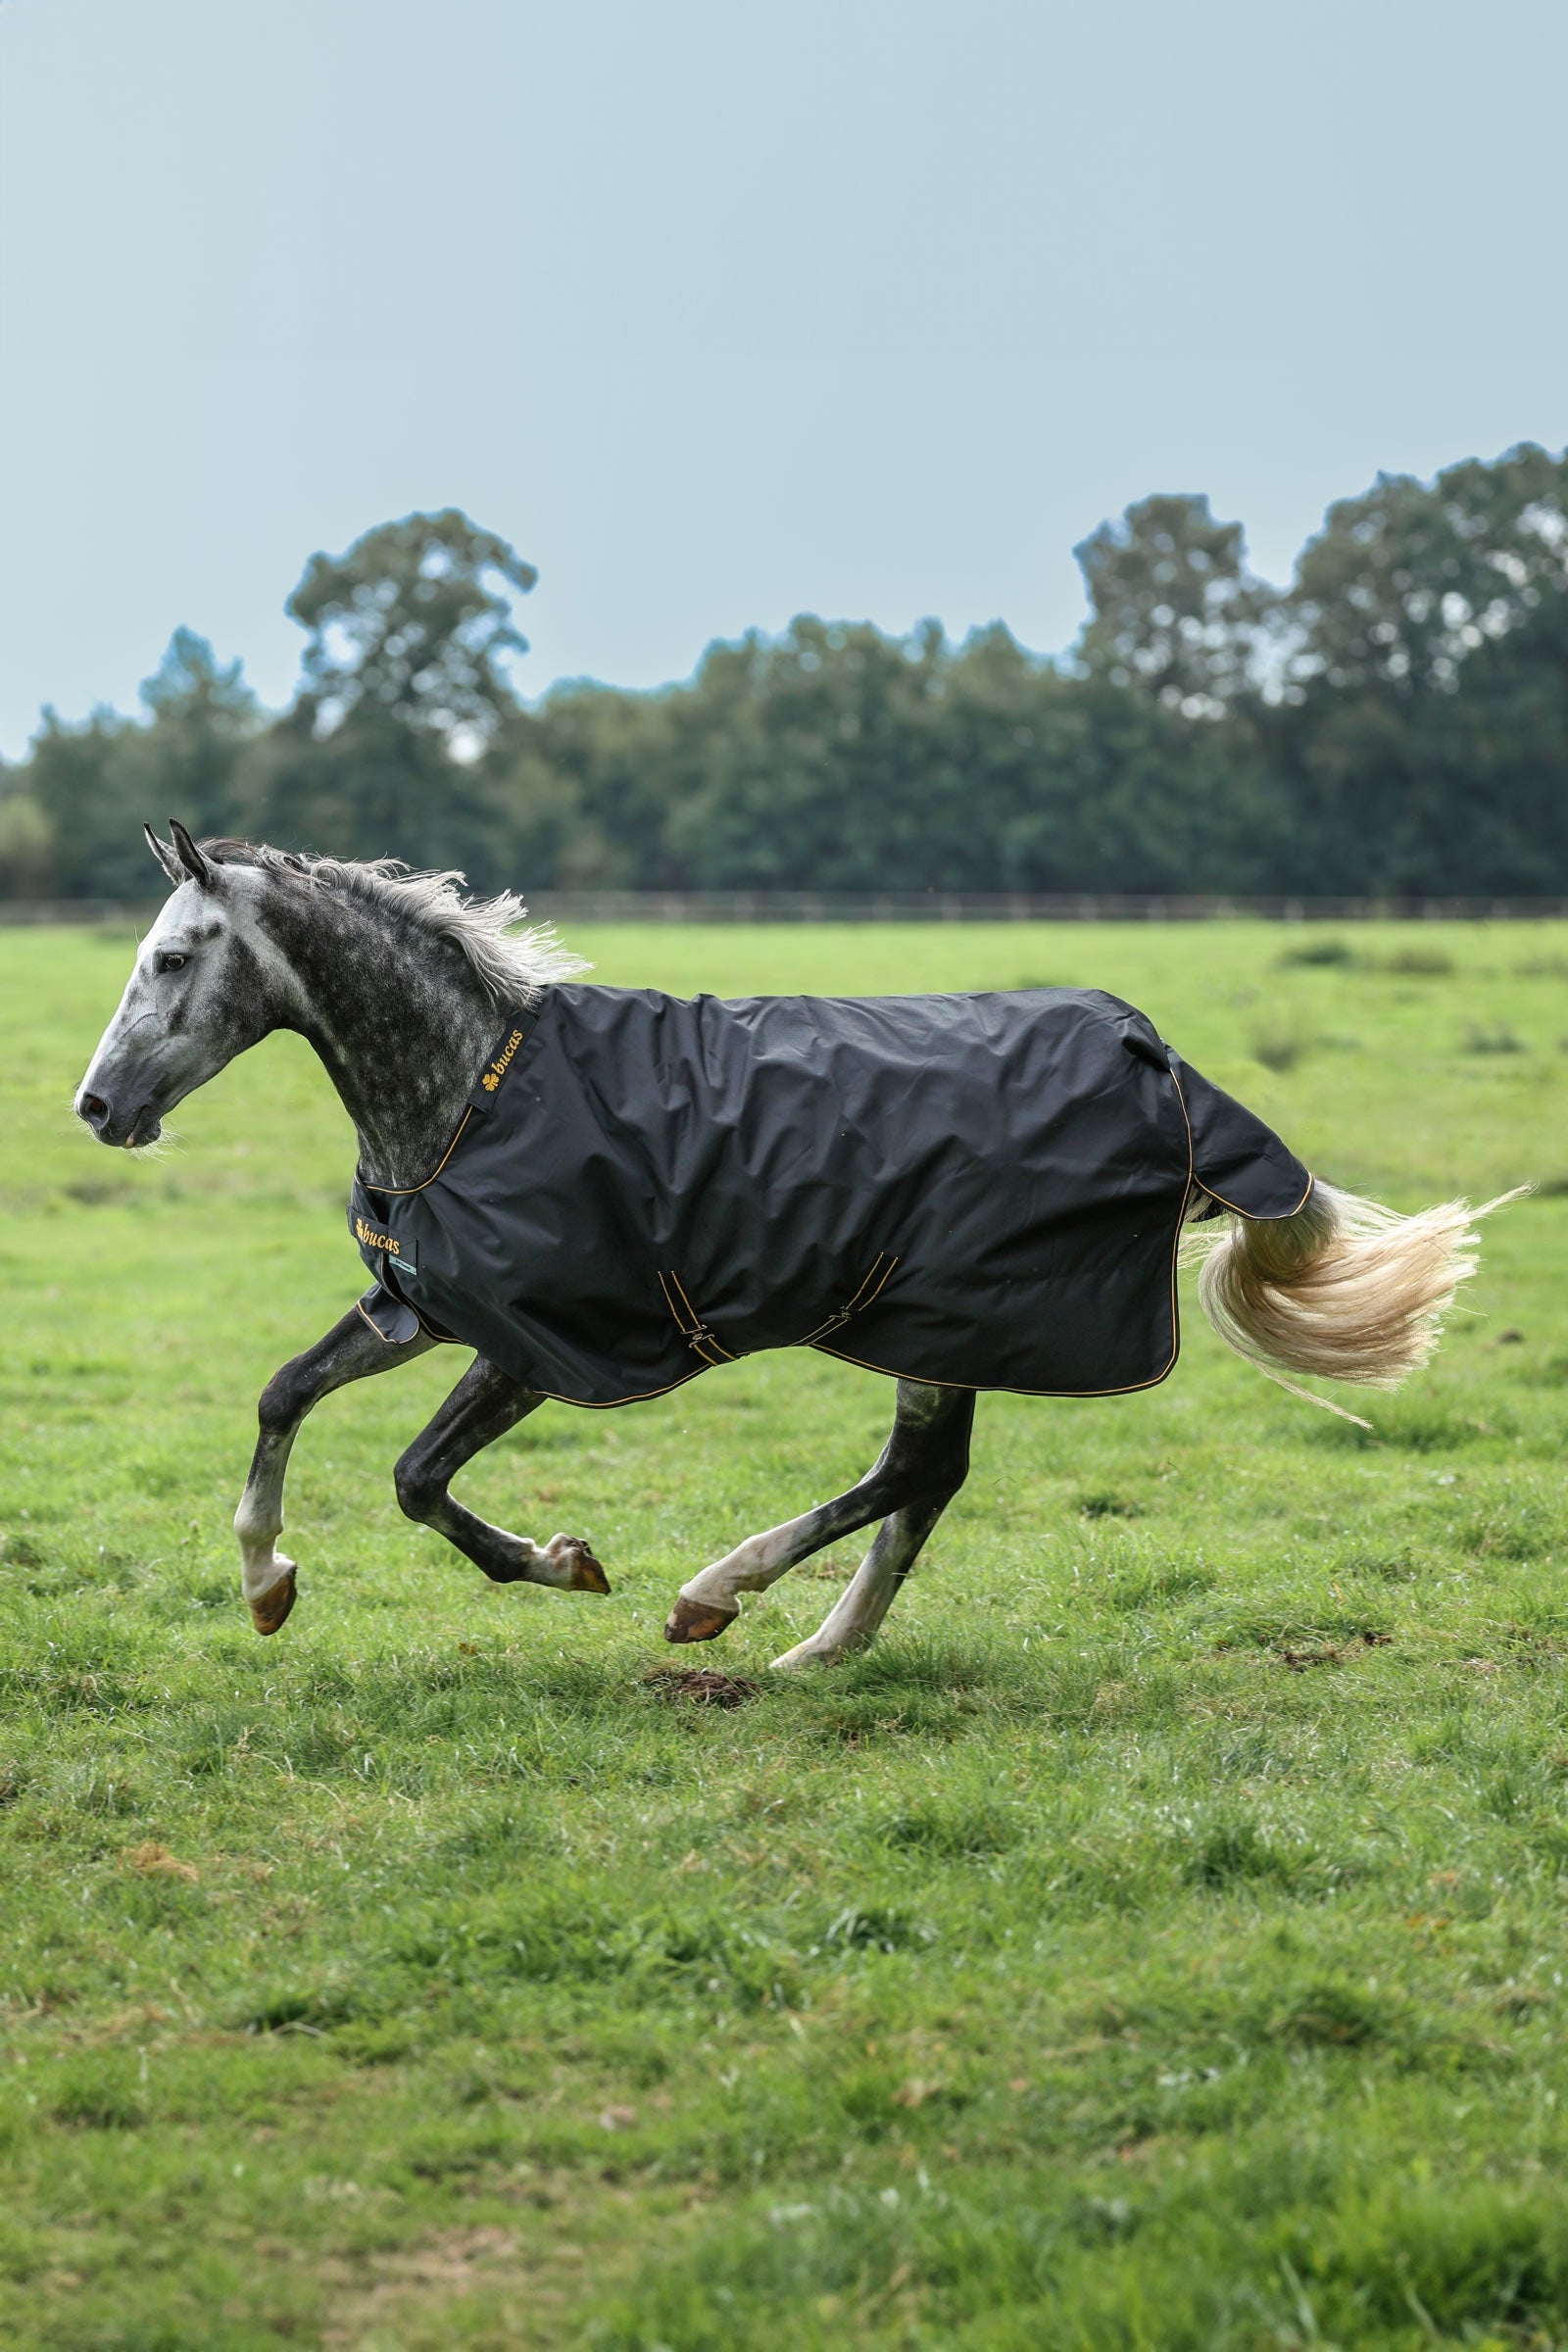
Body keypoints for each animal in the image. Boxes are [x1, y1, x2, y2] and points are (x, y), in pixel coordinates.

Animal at [75, 823, 1500, 1667]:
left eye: (173, 956)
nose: (97, 1107)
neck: (473, 1088)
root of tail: (1168, 1069)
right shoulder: (424, 1303)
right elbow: (282, 1396)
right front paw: (266, 1582)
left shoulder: (541, 1340)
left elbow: (419, 1479)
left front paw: (563, 1563)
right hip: (940, 1324)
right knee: (928, 1482)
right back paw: (821, 1645)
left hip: (941, 1316)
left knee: (915, 1474)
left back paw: (723, 1594)